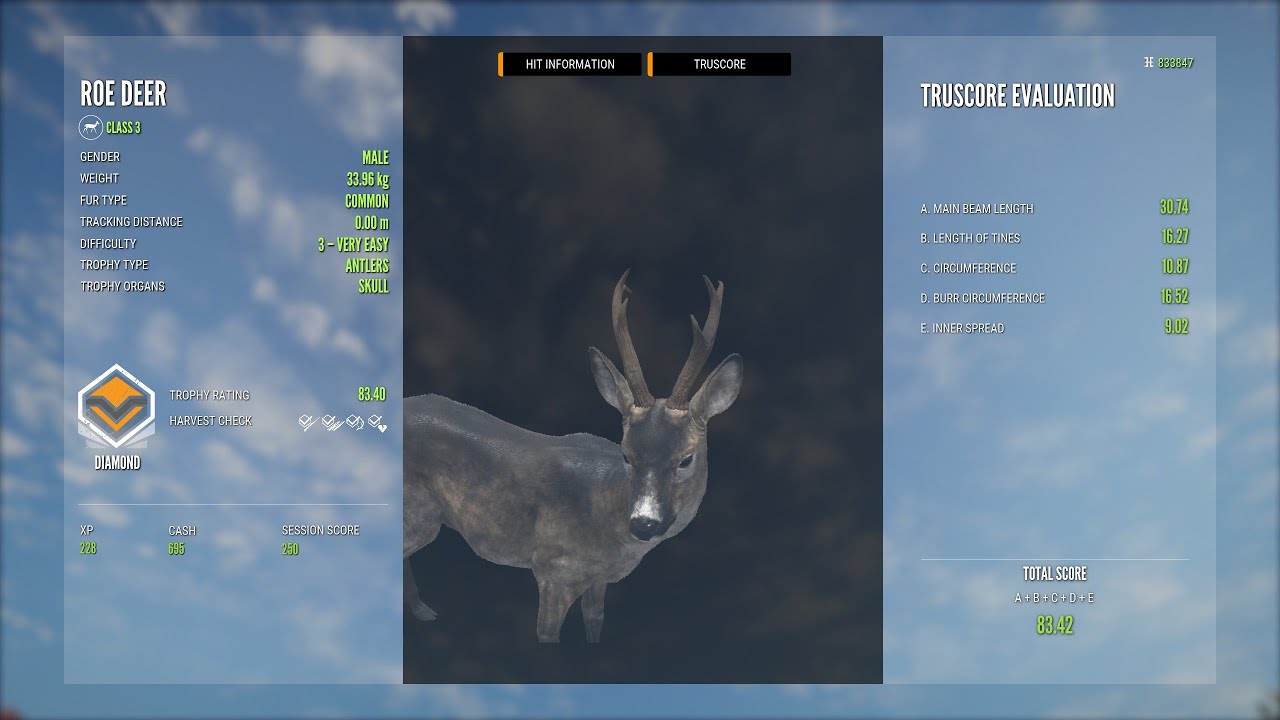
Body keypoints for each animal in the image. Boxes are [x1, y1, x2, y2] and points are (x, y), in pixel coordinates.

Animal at [403, 271, 743, 643]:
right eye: (627, 454)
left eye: (685, 459)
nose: (643, 523)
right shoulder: (553, 568)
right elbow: (548, 633)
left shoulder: (597, 579)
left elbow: (595, 621)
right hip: (419, 515)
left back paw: (422, 611)